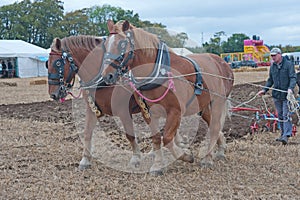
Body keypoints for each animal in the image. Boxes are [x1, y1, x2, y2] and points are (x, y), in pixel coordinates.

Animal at [47, 35, 145, 170]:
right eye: (47, 63)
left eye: (57, 63)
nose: (53, 94)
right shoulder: (91, 109)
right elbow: (87, 132)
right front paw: (85, 159)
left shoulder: (124, 112)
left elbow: (130, 135)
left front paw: (136, 158)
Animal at [101, 19, 234, 173]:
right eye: (105, 44)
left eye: (122, 44)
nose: (107, 76)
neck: (159, 72)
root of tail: (223, 63)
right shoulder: (148, 112)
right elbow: (157, 138)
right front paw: (158, 165)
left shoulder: (175, 111)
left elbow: (168, 138)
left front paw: (185, 155)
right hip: (204, 106)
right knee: (214, 125)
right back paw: (219, 149)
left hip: (218, 101)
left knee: (214, 127)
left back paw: (207, 158)